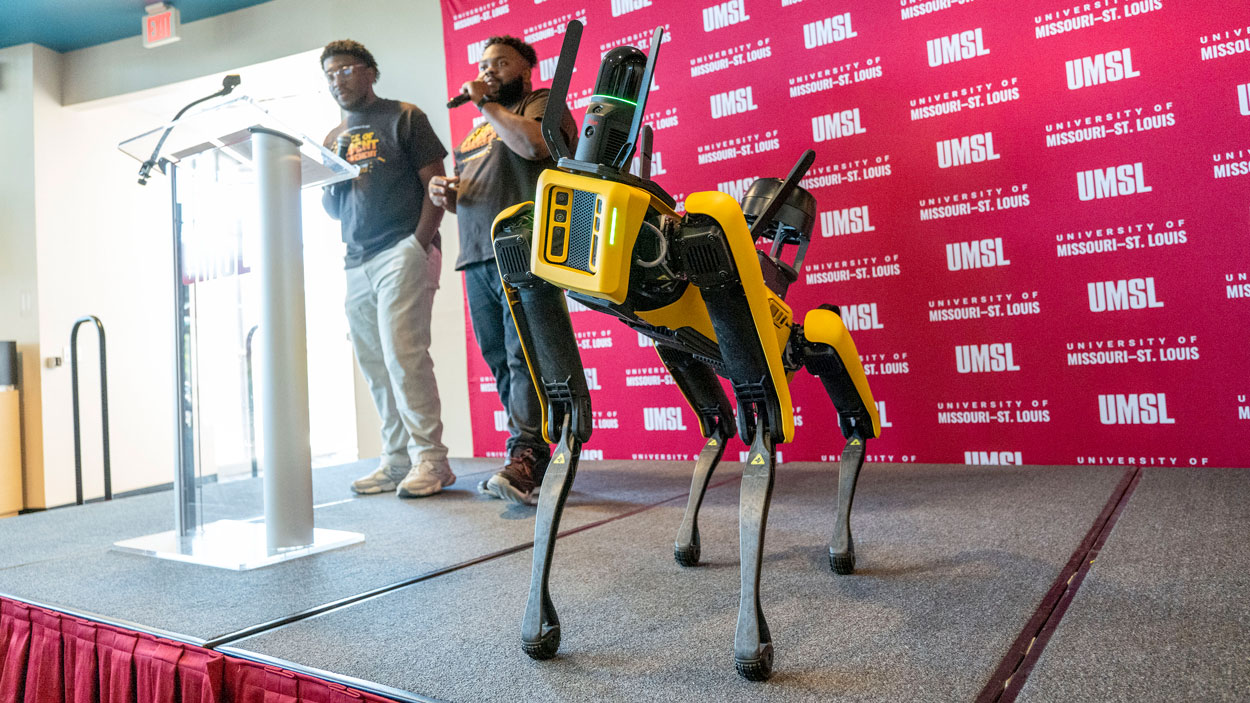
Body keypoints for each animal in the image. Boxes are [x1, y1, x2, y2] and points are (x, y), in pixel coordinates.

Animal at [487, 23, 880, 680]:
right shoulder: (516, 246)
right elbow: (568, 420)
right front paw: (537, 622)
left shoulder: (710, 243)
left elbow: (764, 425)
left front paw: (751, 643)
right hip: (681, 352)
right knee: (715, 422)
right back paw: (692, 530)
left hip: (796, 339)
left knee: (841, 393)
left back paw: (841, 539)